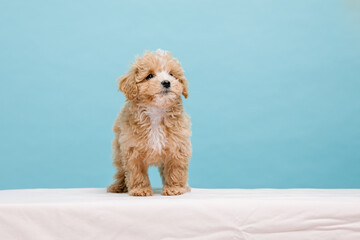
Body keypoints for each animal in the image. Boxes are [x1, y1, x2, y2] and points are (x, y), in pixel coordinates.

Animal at [106, 49, 191, 197]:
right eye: (149, 76)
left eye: (172, 74)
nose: (166, 82)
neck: (156, 112)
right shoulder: (132, 149)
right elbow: (137, 171)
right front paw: (141, 189)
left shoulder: (177, 146)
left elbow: (175, 169)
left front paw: (174, 188)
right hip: (118, 150)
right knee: (121, 171)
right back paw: (118, 186)